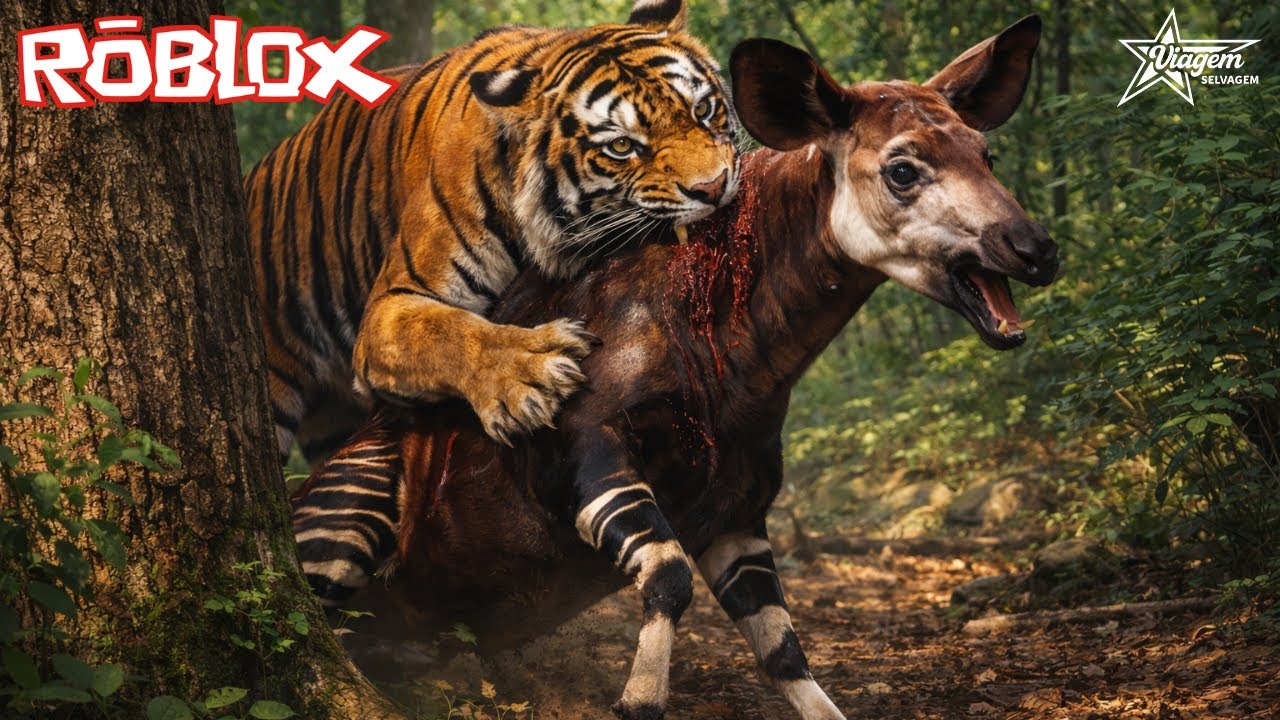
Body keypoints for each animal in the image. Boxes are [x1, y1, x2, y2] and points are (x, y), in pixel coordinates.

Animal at [244, 0, 740, 461]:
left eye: (703, 109)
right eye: (621, 146)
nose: (714, 187)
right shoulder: (390, 306)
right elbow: (448, 332)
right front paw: (528, 372)